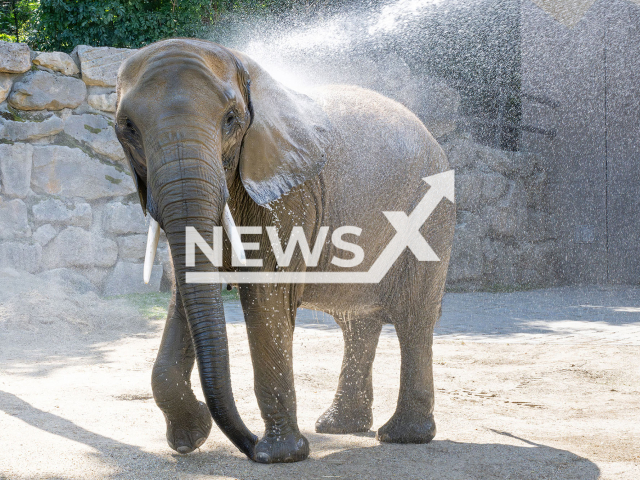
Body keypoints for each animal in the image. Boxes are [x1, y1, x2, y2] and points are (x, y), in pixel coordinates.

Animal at [115, 38, 456, 464]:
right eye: (127, 128)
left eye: (231, 119)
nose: (246, 445)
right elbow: (185, 292)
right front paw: (188, 439)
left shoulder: (291, 197)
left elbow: (265, 297)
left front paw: (276, 456)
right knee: (357, 320)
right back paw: (339, 427)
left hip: (429, 217)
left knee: (413, 318)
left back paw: (401, 436)